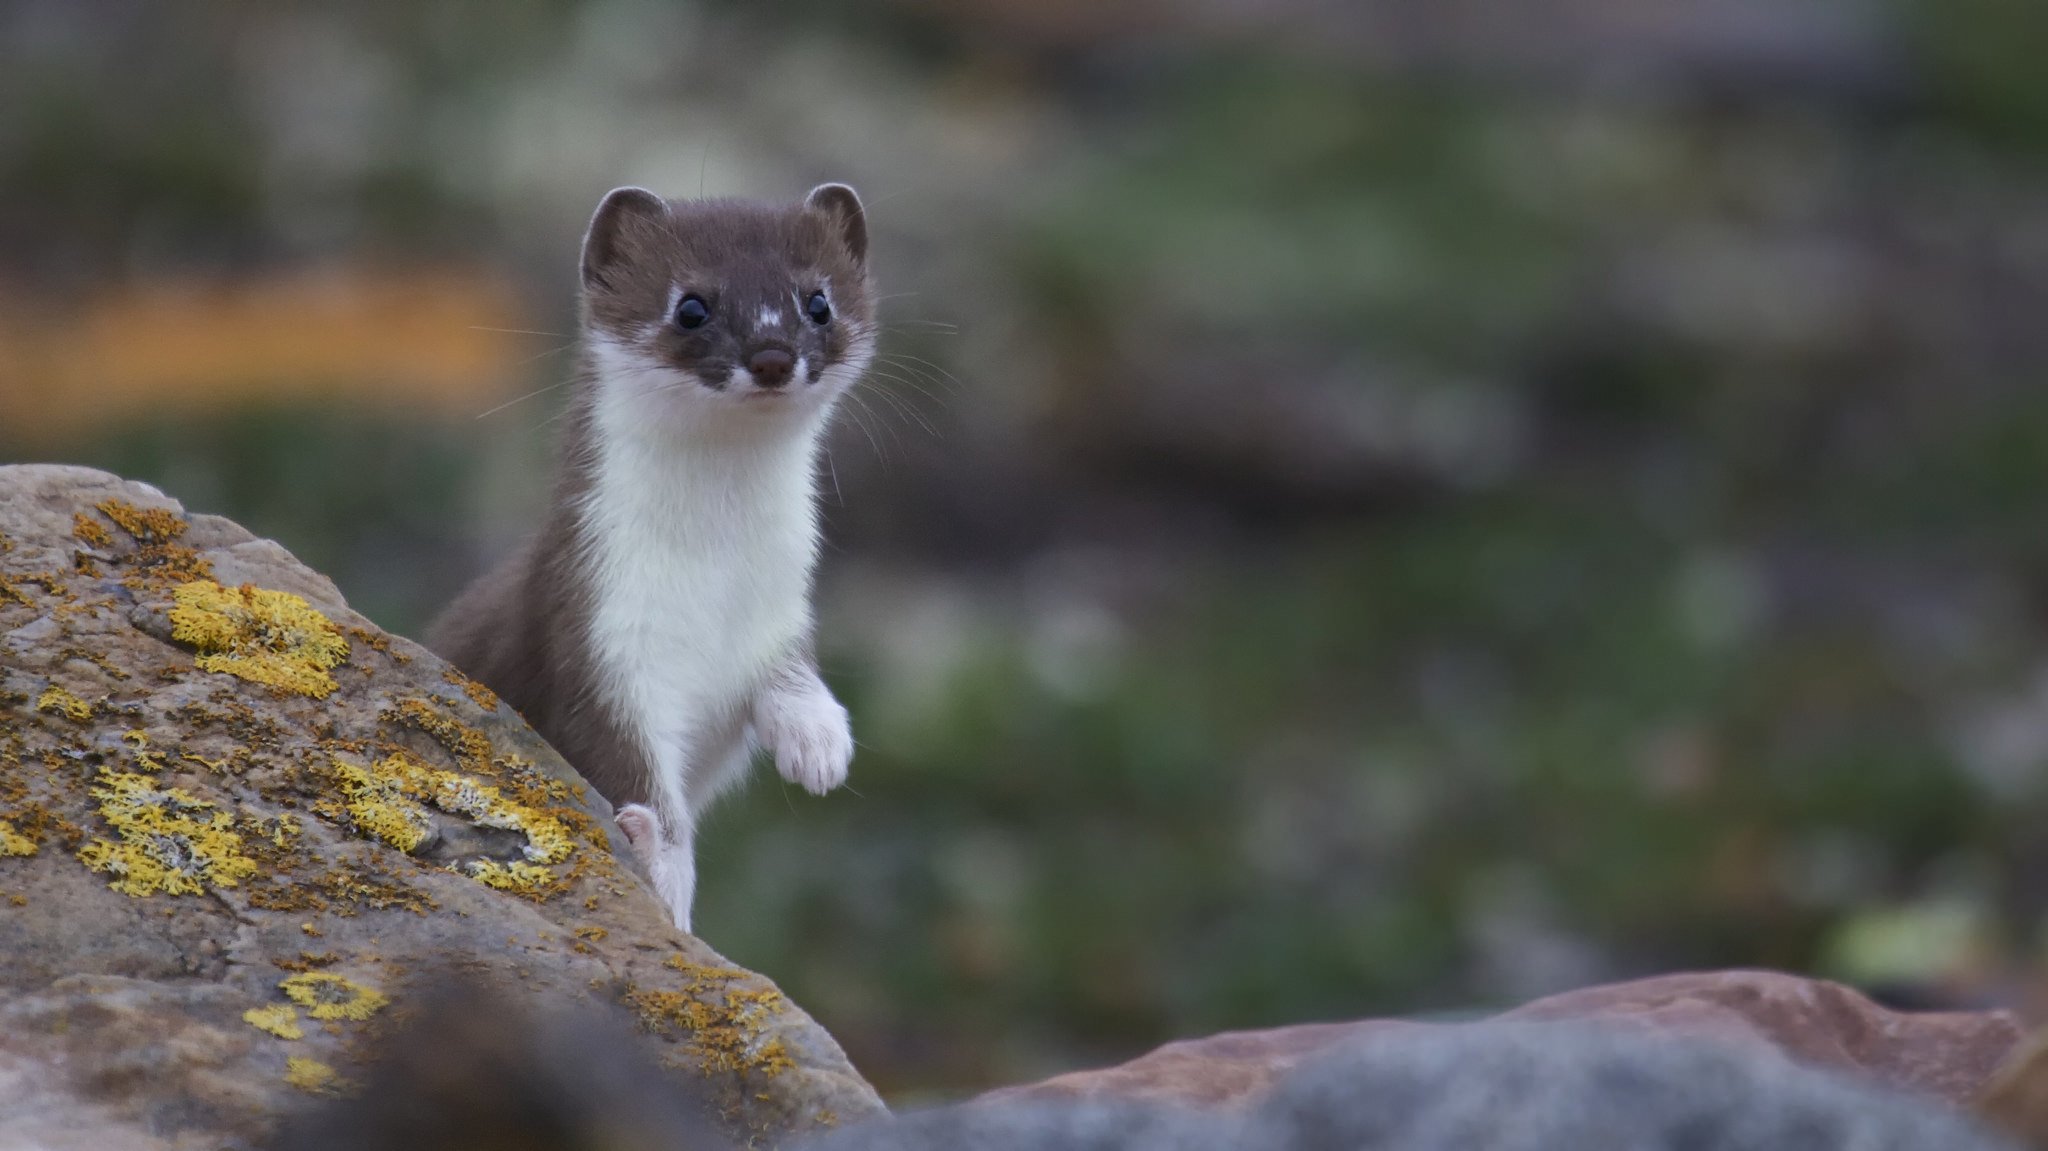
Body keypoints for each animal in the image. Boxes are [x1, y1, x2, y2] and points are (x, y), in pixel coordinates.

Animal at [428, 181, 876, 933]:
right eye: (690, 306)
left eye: (818, 301)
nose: (773, 355)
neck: (715, 576)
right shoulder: (596, 631)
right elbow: (628, 770)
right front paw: (660, 870)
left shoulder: (779, 602)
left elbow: (787, 666)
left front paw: (817, 740)